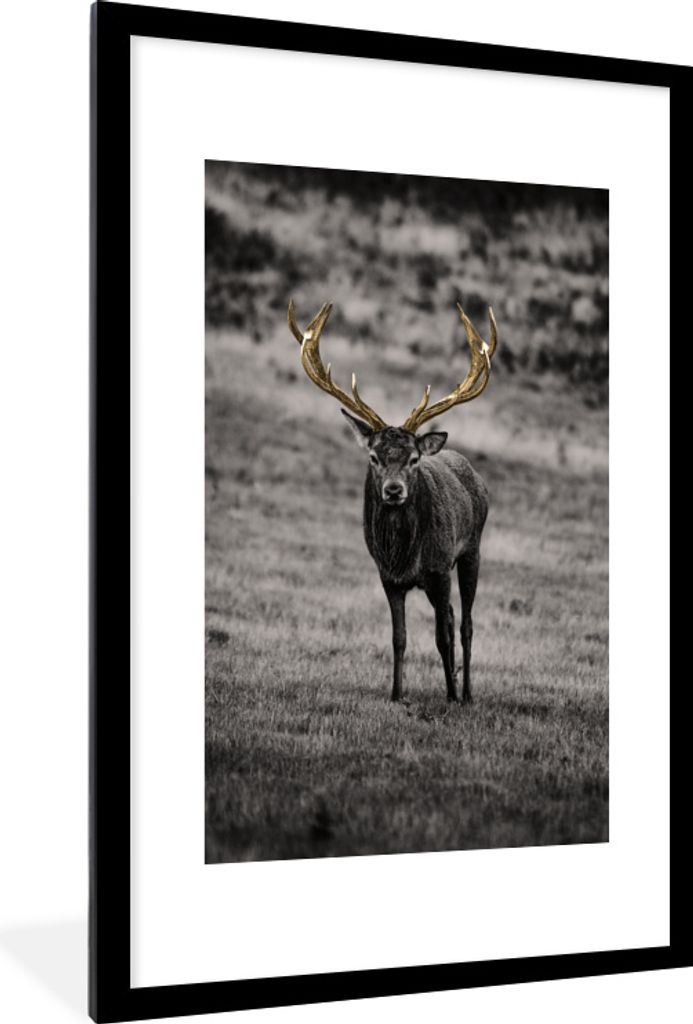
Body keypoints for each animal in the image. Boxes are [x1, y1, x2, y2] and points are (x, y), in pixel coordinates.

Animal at [287, 300, 497, 704]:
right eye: (373, 456)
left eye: (414, 459)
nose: (394, 490)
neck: (404, 554)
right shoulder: (388, 577)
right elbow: (398, 637)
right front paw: (397, 694)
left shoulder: (439, 567)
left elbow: (443, 634)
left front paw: (450, 696)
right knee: (451, 616)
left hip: (471, 550)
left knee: (464, 623)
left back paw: (465, 693)